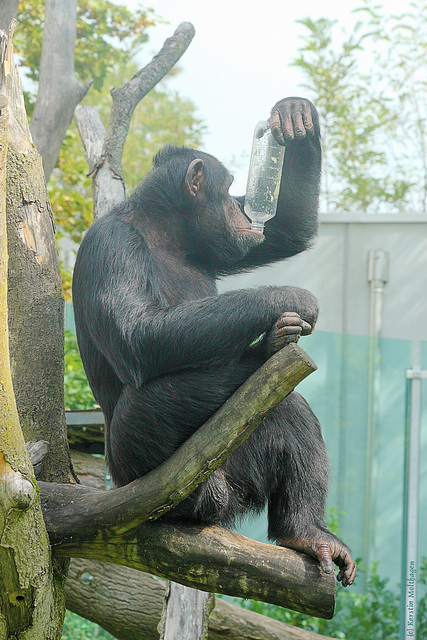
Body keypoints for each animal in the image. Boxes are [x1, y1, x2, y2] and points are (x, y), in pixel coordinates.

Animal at [72, 97, 358, 588]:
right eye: (227, 193)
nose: (244, 210)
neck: (165, 236)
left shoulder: (219, 245)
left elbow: (282, 231)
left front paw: (295, 119)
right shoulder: (113, 245)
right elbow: (138, 334)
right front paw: (286, 304)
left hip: (236, 473)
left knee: (288, 410)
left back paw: (306, 532)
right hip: (134, 459)